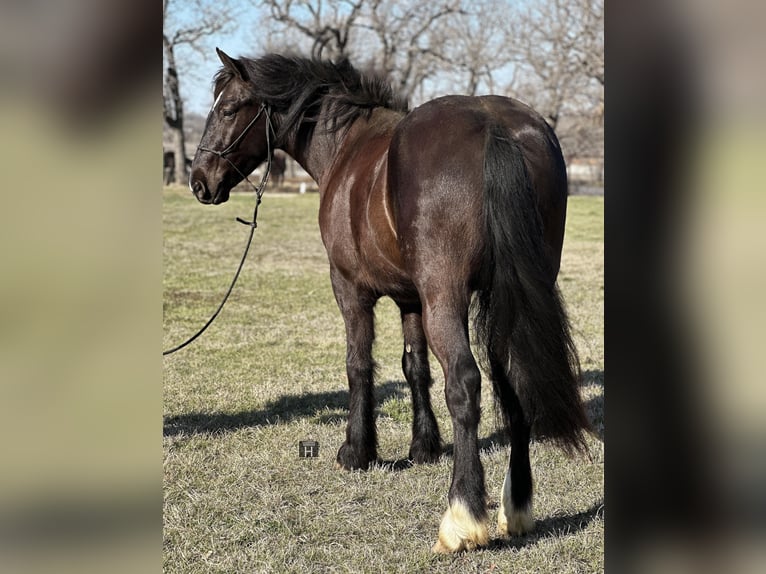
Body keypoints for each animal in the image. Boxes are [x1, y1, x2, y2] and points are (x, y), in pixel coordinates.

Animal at [189, 48, 592, 552]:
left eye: (227, 109)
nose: (199, 181)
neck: (348, 146)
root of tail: (491, 124)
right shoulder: (410, 298)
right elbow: (413, 366)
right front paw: (423, 447)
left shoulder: (349, 288)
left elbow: (358, 364)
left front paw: (356, 451)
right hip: (510, 297)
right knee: (511, 379)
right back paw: (515, 507)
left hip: (447, 296)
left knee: (465, 383)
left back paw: (462, 517)